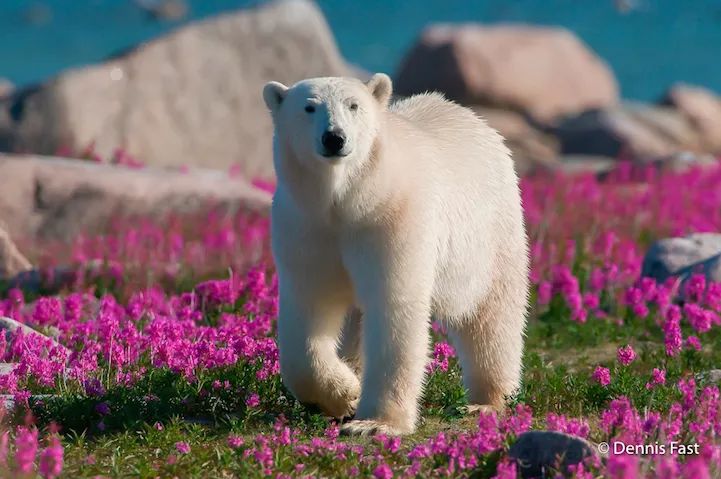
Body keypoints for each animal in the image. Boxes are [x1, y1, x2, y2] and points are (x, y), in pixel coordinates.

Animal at [262, 74, 524, 436]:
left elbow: (393, 307)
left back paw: (485, 401)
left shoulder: (391, 219)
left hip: (490, 235)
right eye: (309, 107)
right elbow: (308, 312)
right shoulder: (306, 228)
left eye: (353, 105)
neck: (348, 203)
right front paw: (345, 395)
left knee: (490, 313)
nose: (334, 138)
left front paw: (375, 423)